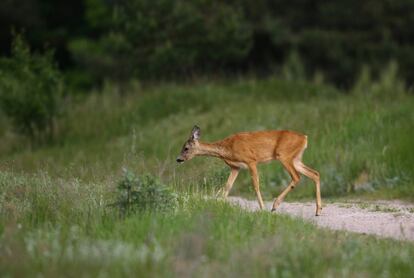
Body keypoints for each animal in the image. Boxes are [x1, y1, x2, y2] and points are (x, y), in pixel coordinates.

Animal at [176, 125, 322, 215]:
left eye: (186, 148)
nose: (178, 159)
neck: (227, 149)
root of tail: (304, 138)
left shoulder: (251, 161)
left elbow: (256, 185)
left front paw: (262, 208)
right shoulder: (236, 167)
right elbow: (227, 186)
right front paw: (218, 205)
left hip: (284, 155)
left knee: (297, 177)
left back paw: (275, 205)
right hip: (296, 158)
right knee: (315, 173)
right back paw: (318, 210)